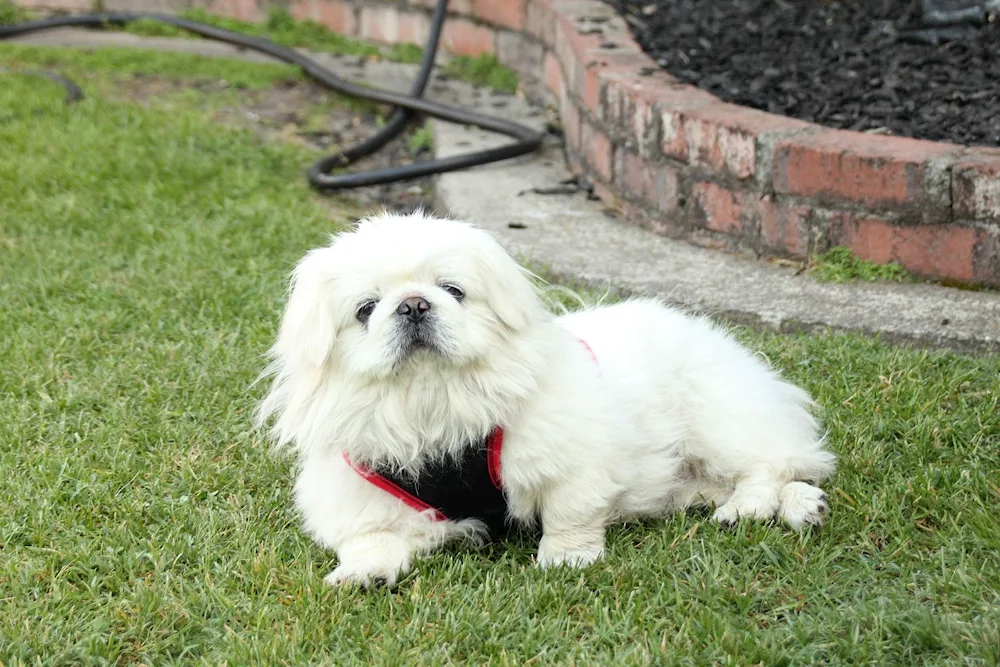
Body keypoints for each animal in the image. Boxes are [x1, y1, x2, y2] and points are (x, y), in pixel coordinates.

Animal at [258, 211, 836, 588]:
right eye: (366, 309)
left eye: (453, 290)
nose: (414, 304)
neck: (435, 400)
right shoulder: (361, 493)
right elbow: (369, 539)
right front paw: (363, 573)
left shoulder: (572, 464)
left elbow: (569, 516)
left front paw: (566, 560)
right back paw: (803, 508)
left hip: (718, 422)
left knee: (773, 463)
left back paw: (752, 507)